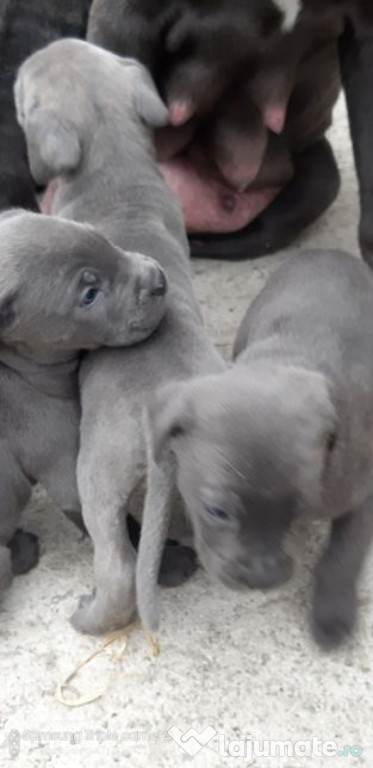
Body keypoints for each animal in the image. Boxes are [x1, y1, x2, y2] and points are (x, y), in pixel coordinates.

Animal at [138, 249, 372, 644]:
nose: (263, 579)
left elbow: (343, 555)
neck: (288, 358)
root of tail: (328, 251)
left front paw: (331, 615)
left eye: (303, 510)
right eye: (216, 511)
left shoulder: (361, 490)